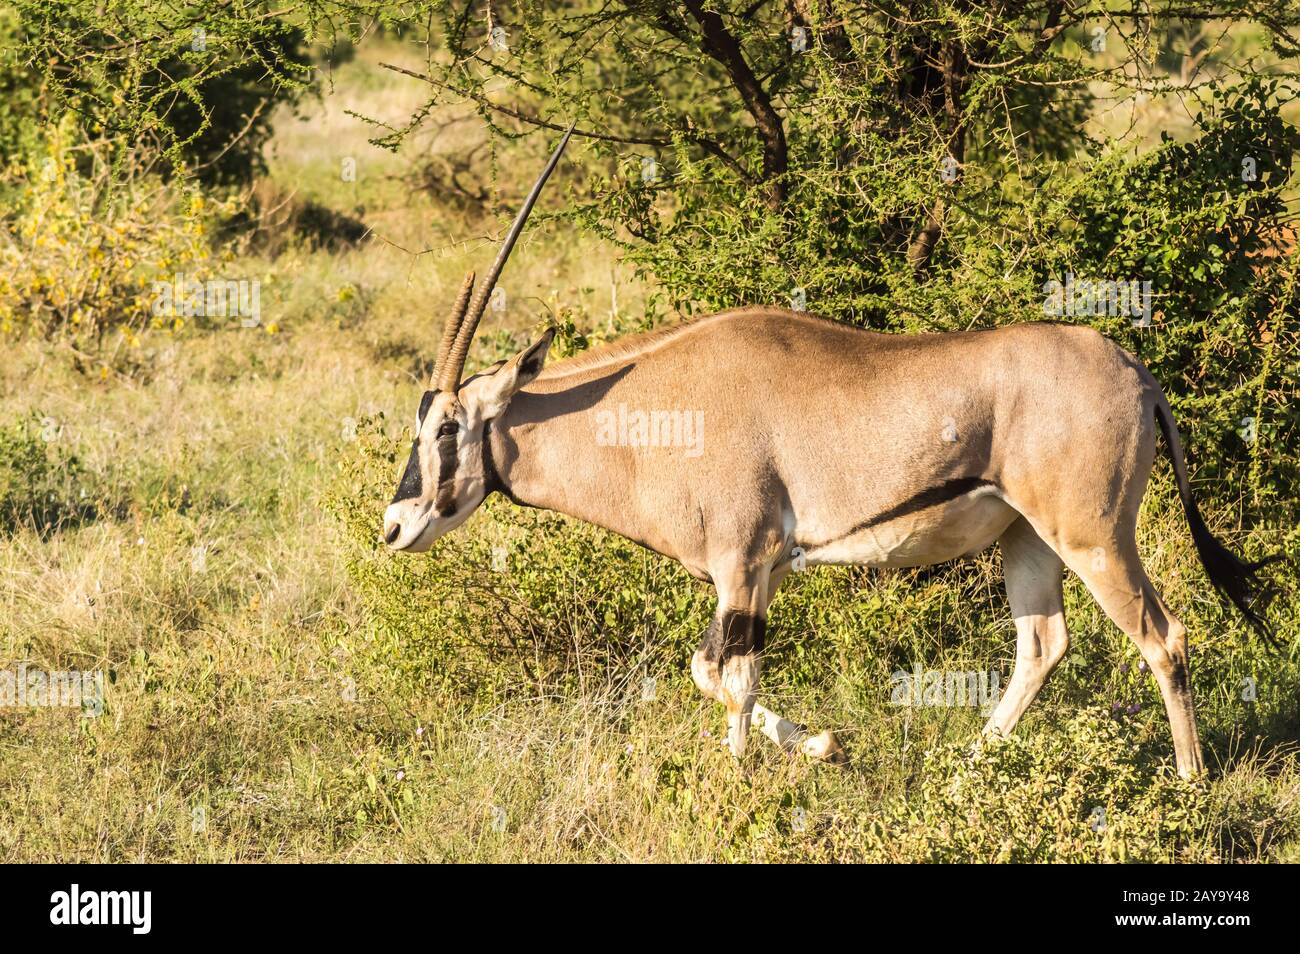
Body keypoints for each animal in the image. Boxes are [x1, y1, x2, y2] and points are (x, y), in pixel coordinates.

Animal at [382, 127, 1279, 779]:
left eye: (448, 427)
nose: (394, 527)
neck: (654, 406)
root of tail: (1135, 370)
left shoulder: (741, 561)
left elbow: (731, 677)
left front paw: (741, 782)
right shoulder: (764, 572)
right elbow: (711, 672)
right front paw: (821, 744)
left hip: (1094, 537)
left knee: (1164, 637)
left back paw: (1191, 782)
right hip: (1028, 540)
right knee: (1044, 644)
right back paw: (968, 766)